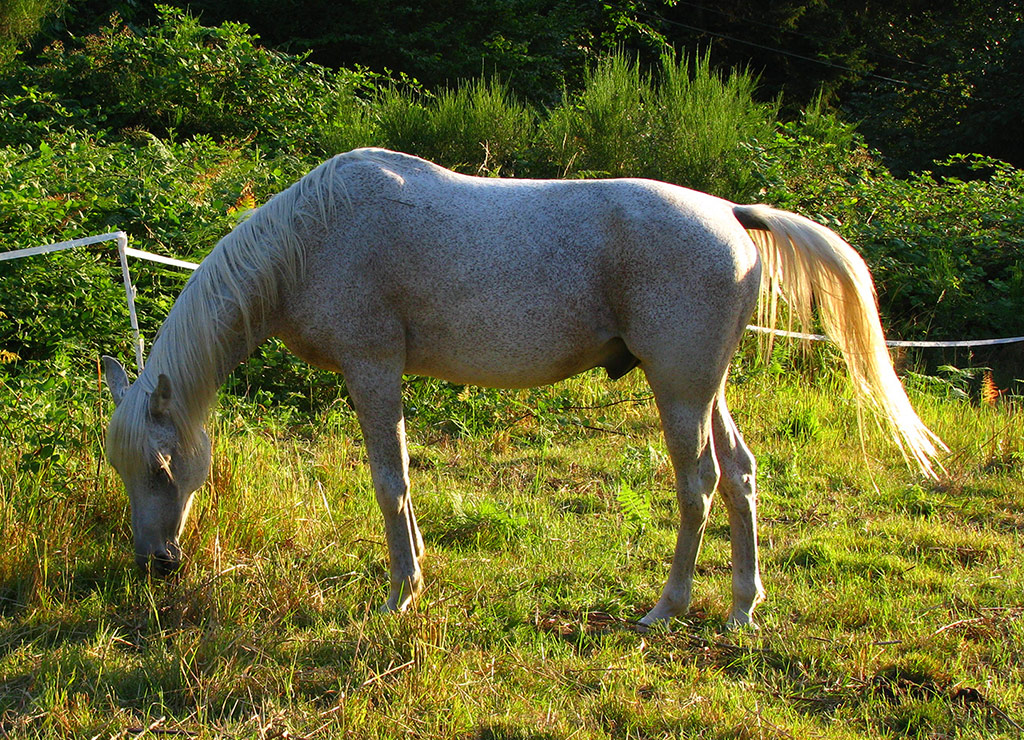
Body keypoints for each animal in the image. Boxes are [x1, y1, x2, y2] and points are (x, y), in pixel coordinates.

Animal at [103, 149, 942, 630]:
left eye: (163, 467)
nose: (155, 564)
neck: (313, 237)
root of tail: (732, 215)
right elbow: (403, 481)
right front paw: (416, 576)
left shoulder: (372, 369)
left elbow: (388, 483)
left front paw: (399, 592)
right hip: (705, 389)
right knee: (739, 474)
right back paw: (742, 607)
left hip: (679, 394)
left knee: (698, 483)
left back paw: (666, 608)